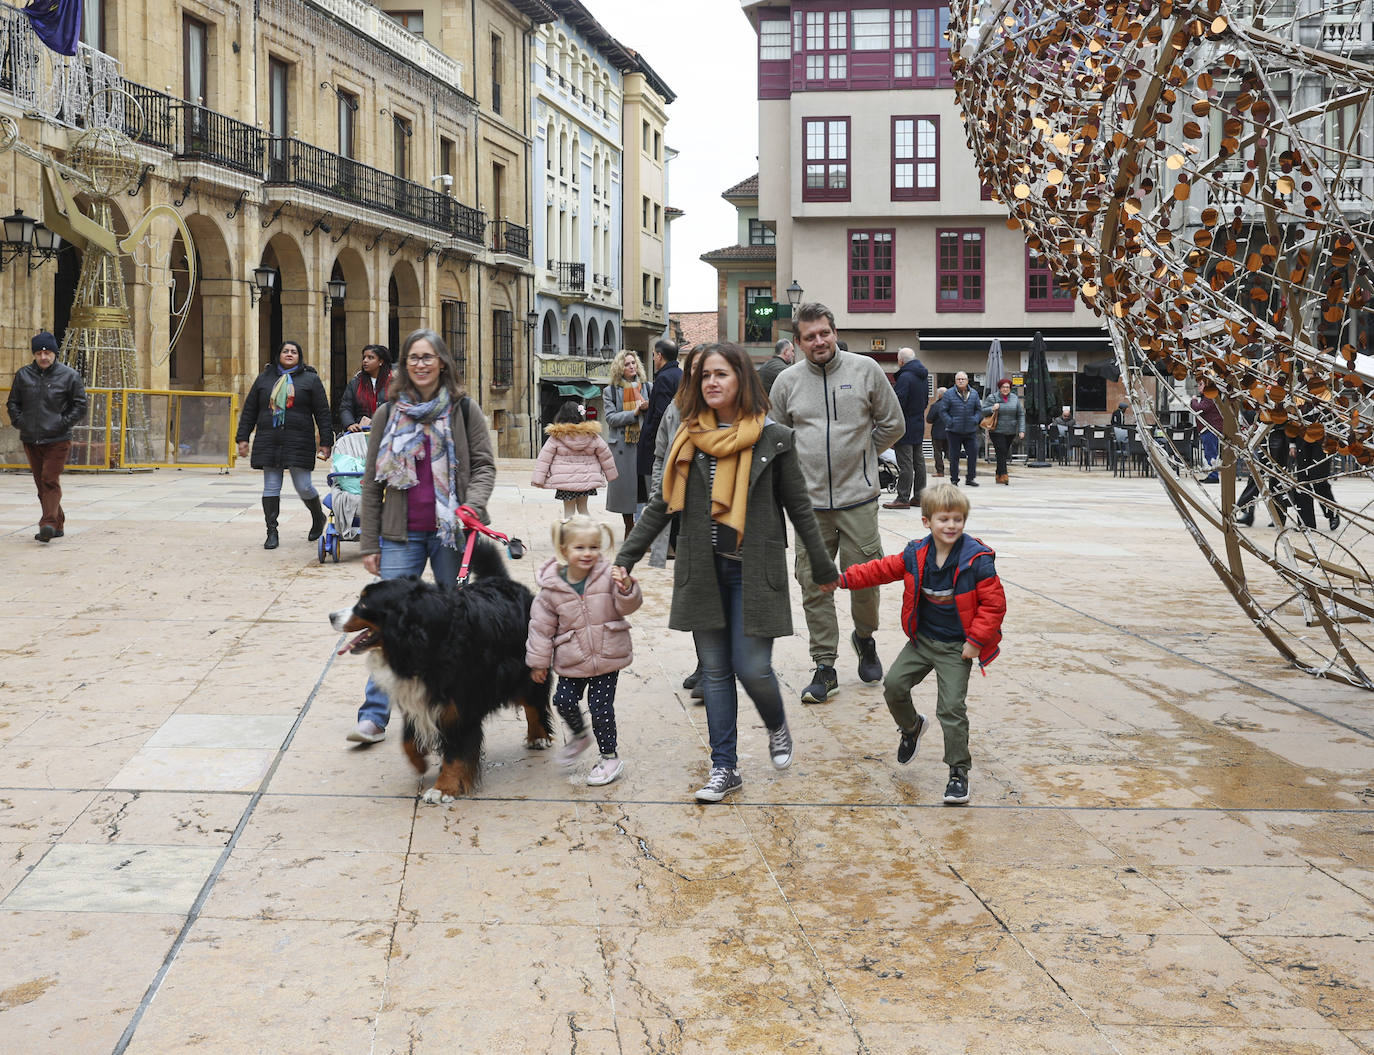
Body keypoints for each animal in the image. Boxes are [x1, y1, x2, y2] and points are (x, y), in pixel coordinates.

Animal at [329, 538, 549, 802]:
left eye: (363, 603)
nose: (331, 616)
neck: (423, 639)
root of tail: (501, 581)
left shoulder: (460, 705)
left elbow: (456, 751)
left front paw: (443, 788)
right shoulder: (416, 695)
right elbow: (408, 739)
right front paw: (420, 763)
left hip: (527, 666)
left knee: (533, 702)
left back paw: (538, 736)